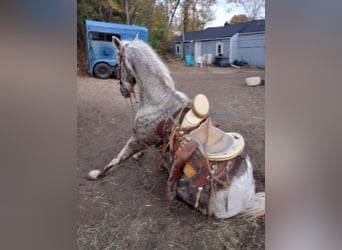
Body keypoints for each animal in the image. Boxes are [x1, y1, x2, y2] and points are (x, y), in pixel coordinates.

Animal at [86, 37, 264, 219]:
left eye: (117, 62)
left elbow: (118, 158)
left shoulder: (138, 138)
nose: (122, 90)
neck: (157, 100)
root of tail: (248, 198)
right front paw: (138, 156)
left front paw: (97, 174)